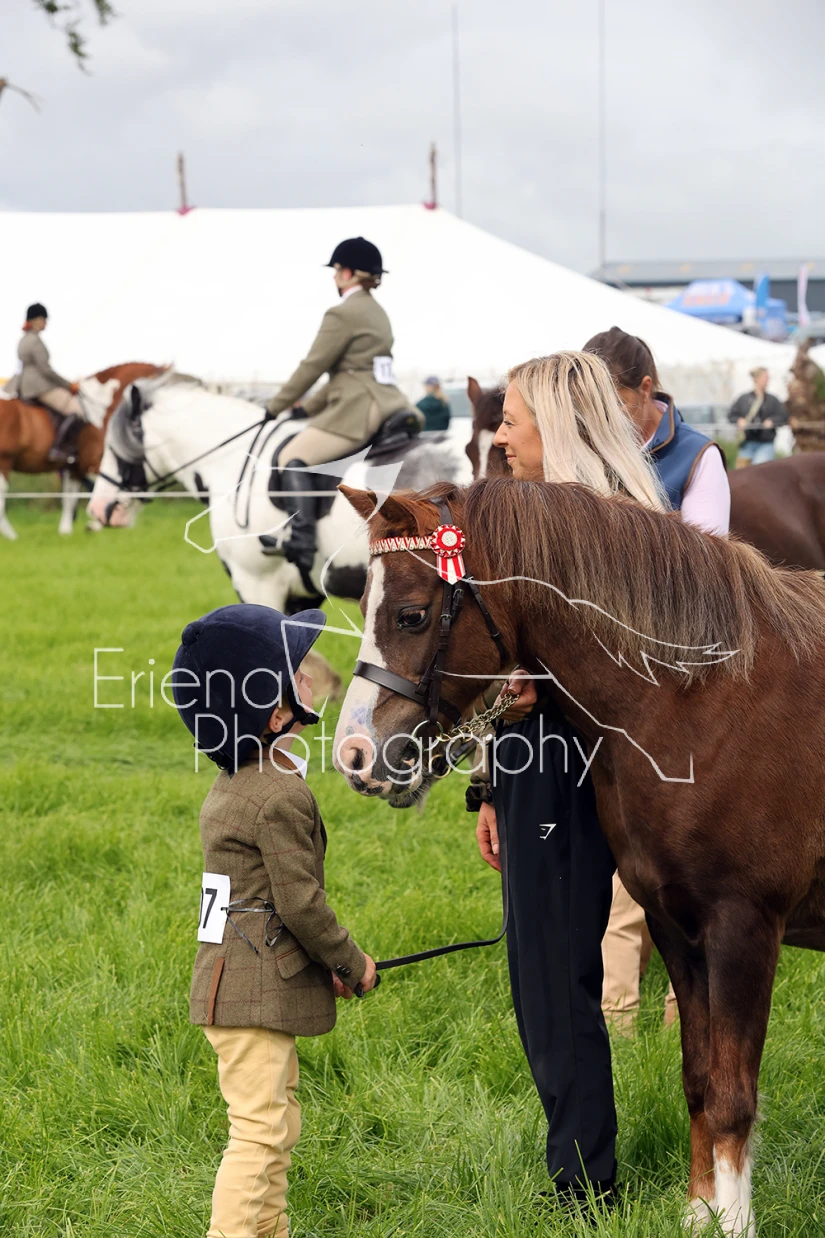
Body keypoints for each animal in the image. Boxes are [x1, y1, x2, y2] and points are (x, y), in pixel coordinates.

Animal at [0, 363, 167, 538]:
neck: (101, 409)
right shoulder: (94, 463)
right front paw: (97, 523)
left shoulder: (74, 468)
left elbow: (70, 498)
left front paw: (66, 532)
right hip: (4, 461)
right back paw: (11, 536)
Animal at [332, 476, 825, 1234]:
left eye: (412, 616)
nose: (355, 757)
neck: (704, 700)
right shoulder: (674, 926)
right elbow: (698, 1079)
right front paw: (698, 1214)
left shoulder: (743, 929)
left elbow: (732, 1094)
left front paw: (733, 1223)